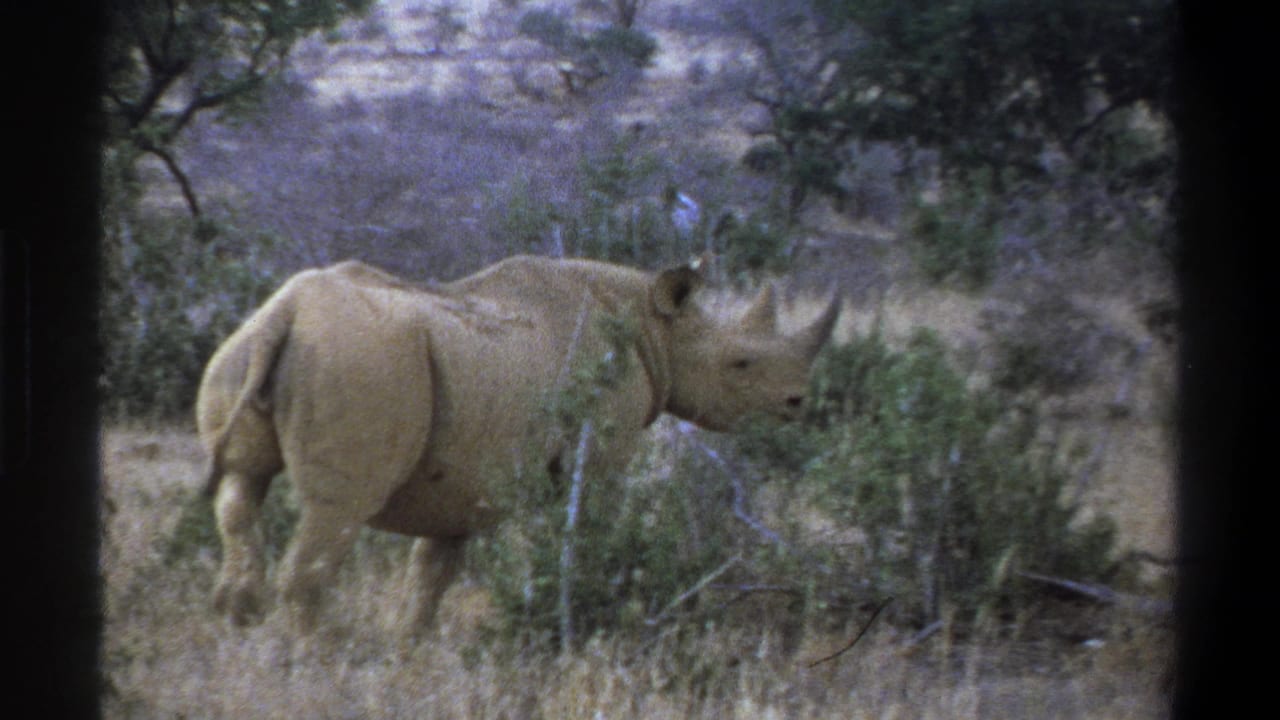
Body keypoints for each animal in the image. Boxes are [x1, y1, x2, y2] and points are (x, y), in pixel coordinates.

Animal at [196, 254, 839, 634]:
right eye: (740, 363)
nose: (798, 403)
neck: (659, 327)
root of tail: (286, 314)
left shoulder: (461, 479)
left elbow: (432, 572)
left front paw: (410, 649)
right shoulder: (596, 451)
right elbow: (585, 534)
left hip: (247, 349)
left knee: (241, 490)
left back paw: (238, 628)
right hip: (360, 364)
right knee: (335, 515)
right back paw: (310, 662)